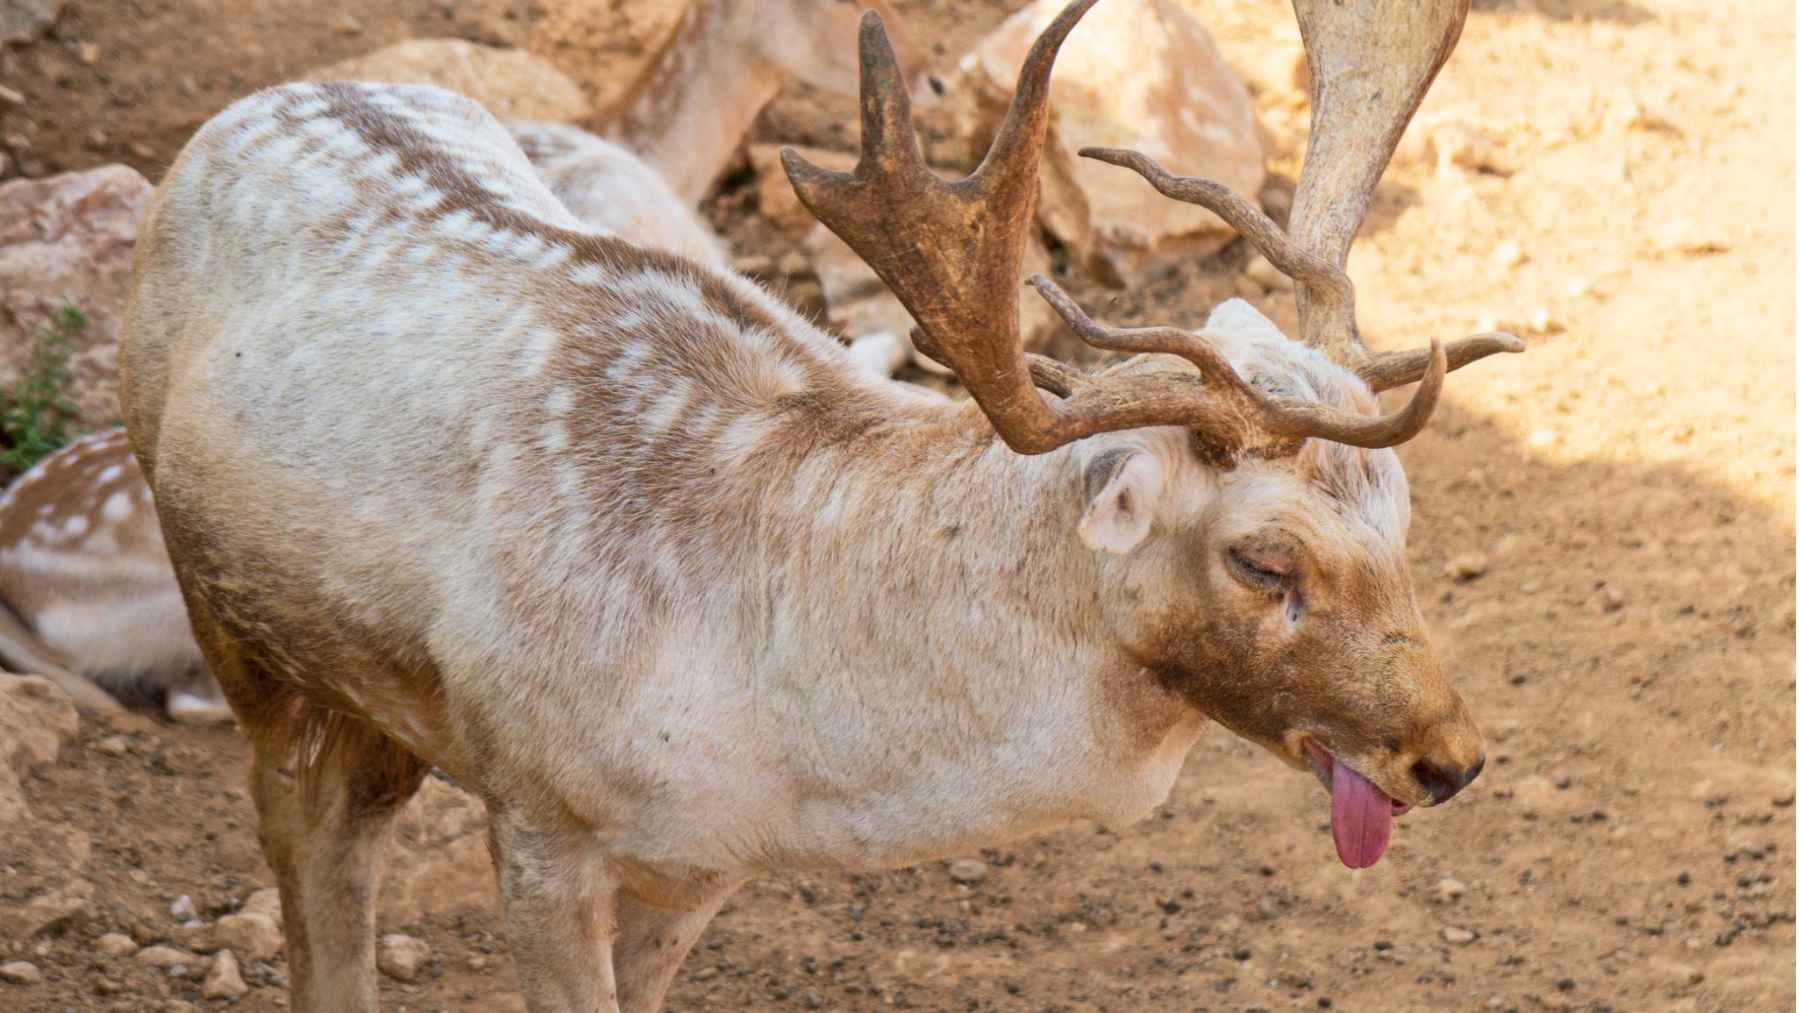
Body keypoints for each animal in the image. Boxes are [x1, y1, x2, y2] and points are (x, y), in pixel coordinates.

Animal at [118, 0, 1520, 1009]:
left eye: (1403, 516)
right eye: (1264, 561)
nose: (1451, 757)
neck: (783, 723)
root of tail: (250, 107)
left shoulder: (704, 861)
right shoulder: (540, 817)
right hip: (229, 615)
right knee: (311, 845)